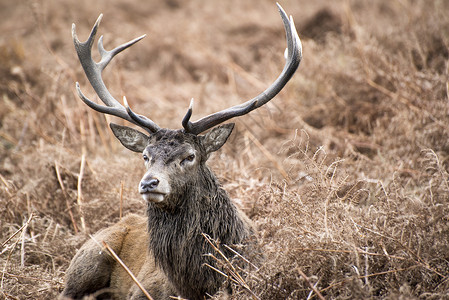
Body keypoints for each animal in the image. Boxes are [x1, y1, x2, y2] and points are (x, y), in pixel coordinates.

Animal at [61, 2, 300, 300]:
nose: (149, 183)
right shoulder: (142, 289)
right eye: (145, 155)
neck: (196, 286)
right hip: (89, 257)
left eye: (190, 156)